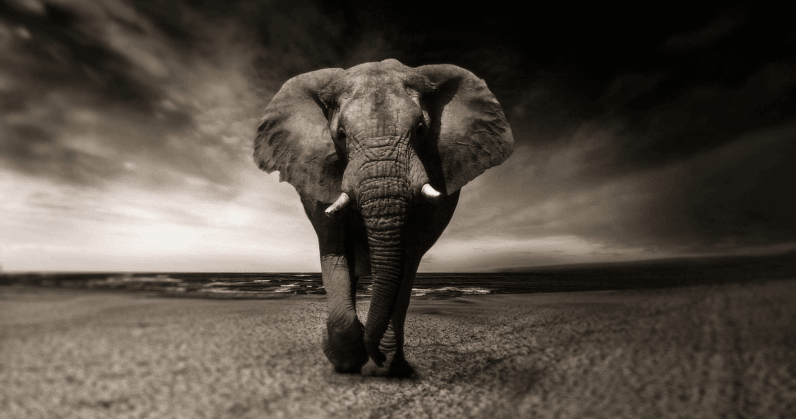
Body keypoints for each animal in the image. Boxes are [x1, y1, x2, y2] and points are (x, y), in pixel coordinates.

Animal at [253, 59, 513, 376]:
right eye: (340, 135)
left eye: (421, 129)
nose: (374, 354)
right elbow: (334, 250)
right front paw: (346, 360)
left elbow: (407, 259)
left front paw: (383, 364)